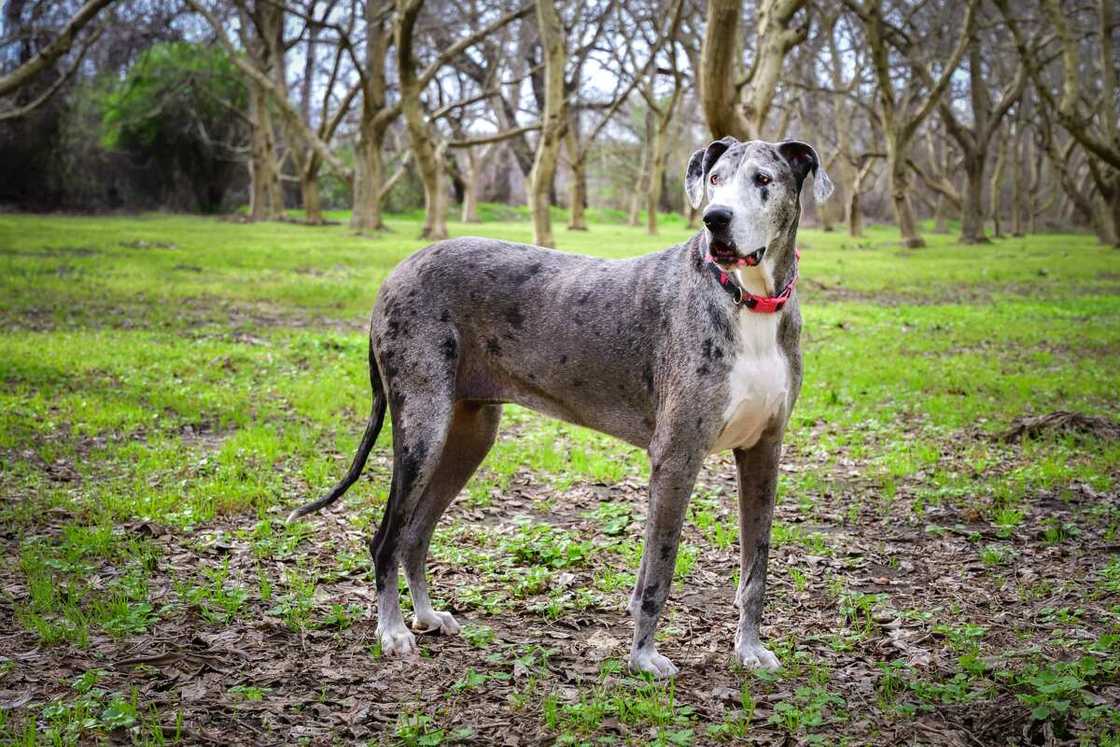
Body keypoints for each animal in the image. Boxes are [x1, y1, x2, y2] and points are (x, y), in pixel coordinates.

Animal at [288, 134, 833, 676]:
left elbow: (755, 569)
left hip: (468, 436)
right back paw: (394, 630)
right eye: (716, 178)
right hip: (423, 428)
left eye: (763, 179)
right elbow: (659, 572)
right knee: (386, 538)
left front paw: (749, 650)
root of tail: (396, 271)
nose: (715, 218)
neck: (749, 302)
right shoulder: (677, 456)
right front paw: (644, 657)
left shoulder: (763, 454)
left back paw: (424, 616)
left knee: (415, 533)